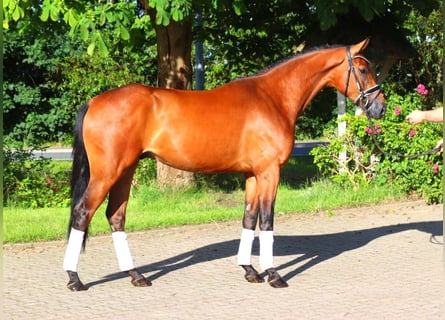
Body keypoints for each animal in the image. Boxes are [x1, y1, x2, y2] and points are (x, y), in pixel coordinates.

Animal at [63, 38, 386, 292]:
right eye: (362, 69)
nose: (380, 107)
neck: (273, 98)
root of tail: (94, 101)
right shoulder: (270, 172)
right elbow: (266, 220)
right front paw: (273, 275)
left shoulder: (253, 175)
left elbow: (249, 218)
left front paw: (250, 271)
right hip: (107, 172)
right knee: (82, 213)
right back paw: (74, 278)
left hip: (125, 171)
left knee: (115, 216)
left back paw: (136, 276)